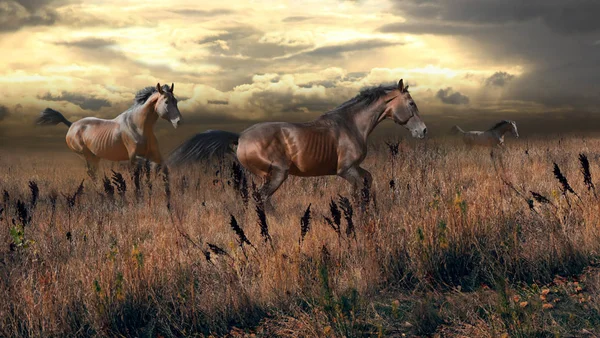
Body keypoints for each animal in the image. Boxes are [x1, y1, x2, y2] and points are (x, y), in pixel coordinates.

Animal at [36, 83, 182, 177]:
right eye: (166, 102)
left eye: (176, 101)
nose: (178, 121)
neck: (139, 127)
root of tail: (71, 124)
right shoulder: (134, 157)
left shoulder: (155, 155)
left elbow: (164, 167)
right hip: (87, 155)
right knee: (91, 173)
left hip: (95, 157)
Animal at [166, 79, 424, 206]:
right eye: (411, 103)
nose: (423, 130)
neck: (351, 124)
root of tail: (240, 137)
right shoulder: (346, 170)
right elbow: (360, 187)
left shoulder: (355, 168)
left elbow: (367, 181)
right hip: (277, 174)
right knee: (262, 198)